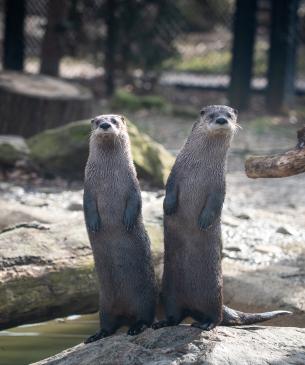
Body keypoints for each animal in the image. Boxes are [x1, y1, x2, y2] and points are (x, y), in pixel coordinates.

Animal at [83, 114, 157, 342]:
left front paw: (128, 220)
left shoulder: (133, 184)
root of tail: (125, 314)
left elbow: (135, 201)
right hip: (105, 305)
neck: (109, 179)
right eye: (97, 121)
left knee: (145, 317)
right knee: (108, 324)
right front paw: (94, 224)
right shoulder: (88, 188)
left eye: (114, 120)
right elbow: (87, 206)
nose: (106, 125)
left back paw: (135, 328)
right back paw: (97, 335)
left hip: (145, 299)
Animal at [153, 105, 290, 330]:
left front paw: (205, 220)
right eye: (211, 114)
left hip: (213, 293)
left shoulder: (219, 185)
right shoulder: (175, 172)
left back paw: (206, 324)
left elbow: (215, 203)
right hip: (169, 293)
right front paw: (168, 206)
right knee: (176, 314)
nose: (221, 120)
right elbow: (169, 188)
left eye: (230, 115)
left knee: (214, 316)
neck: (199, 168)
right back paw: (163, 323)